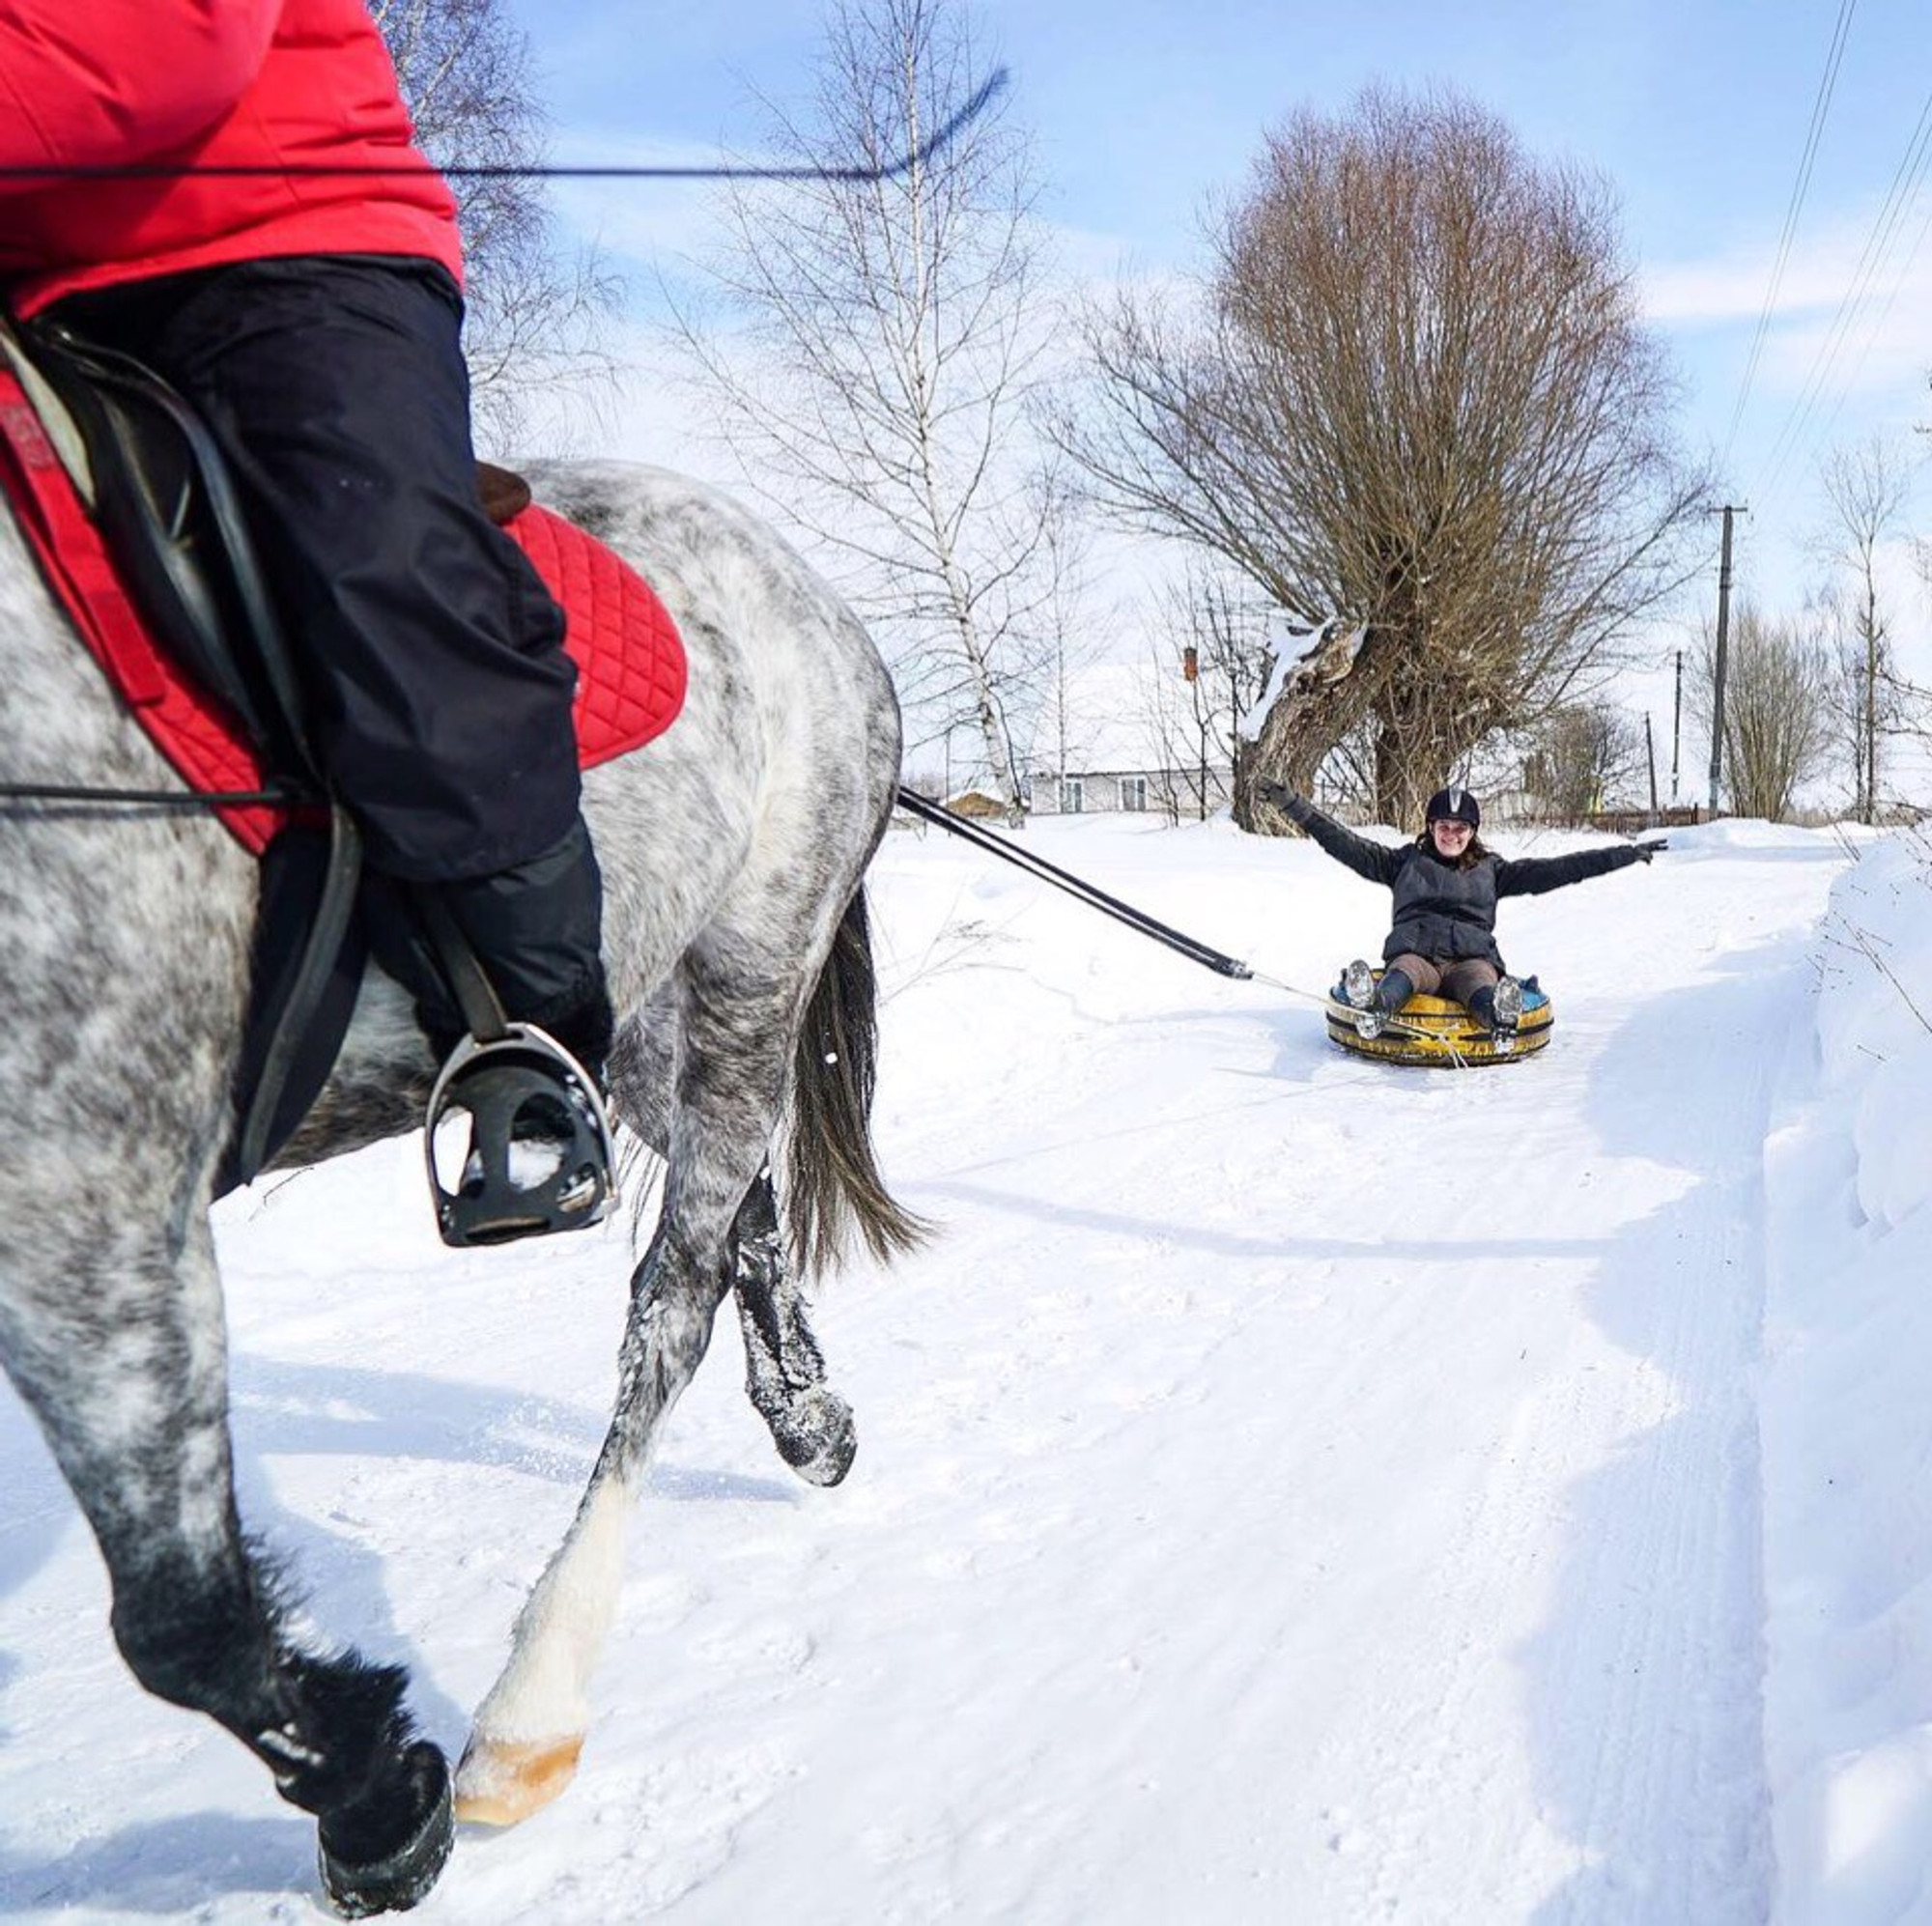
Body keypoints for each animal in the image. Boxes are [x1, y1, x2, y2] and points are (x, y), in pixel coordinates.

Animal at [0, 458, 923, 1916]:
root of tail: (812, 593)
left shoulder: (91, 1178)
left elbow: (182, 1620)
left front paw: (380, 1805)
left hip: (751, 963)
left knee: (674, 1295)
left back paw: (535, 1706)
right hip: (641, 1012)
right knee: (748, 1214)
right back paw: (807, 1420)